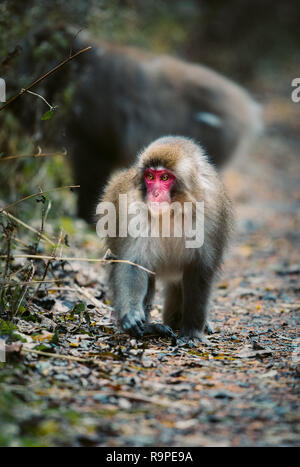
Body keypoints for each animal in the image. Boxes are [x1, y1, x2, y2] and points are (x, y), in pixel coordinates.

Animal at [96, 135, 232, 340]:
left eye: (165, 177)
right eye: (150, 177)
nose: (155, 193)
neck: (175, 208)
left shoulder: (210, 213)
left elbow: (200, 269)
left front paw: (192, 331)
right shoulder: (132, 211)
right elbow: (134, 263)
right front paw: (132, 315)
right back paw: (150, 328)